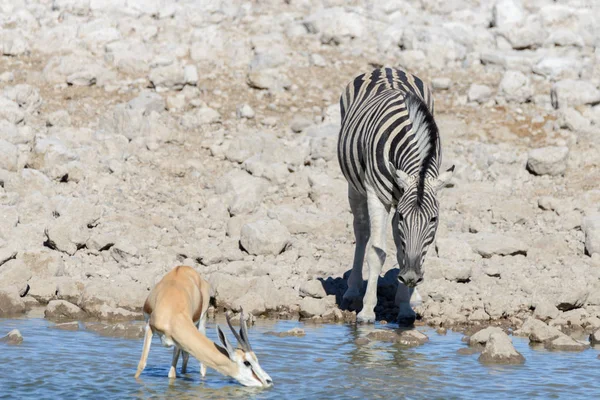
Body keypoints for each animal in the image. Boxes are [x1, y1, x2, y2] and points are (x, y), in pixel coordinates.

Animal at [338, 67, 454, 324]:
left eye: (434, 220)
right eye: (402, 217)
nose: (411, 277)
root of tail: (386, 68)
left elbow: (404, 250)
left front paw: (406, 305)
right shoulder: (377, 196)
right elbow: (377, 251)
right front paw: (367, 310)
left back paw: (413, 295)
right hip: (355, 186)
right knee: (361, 231)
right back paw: (352, 290)